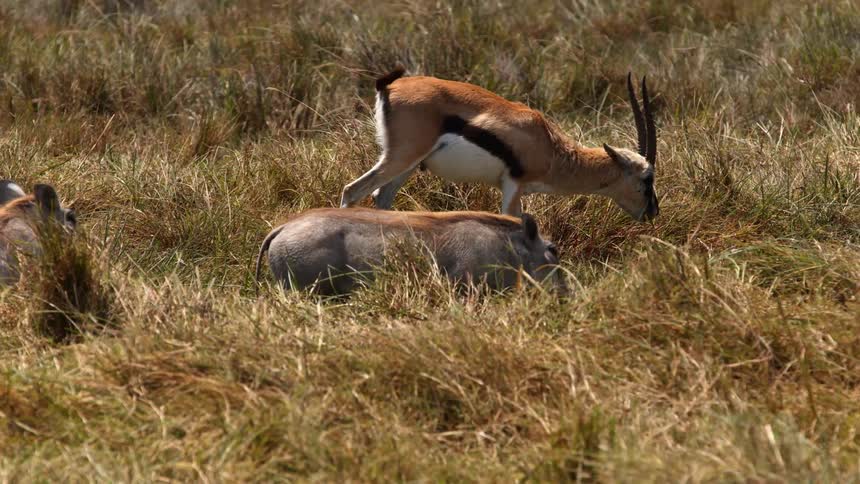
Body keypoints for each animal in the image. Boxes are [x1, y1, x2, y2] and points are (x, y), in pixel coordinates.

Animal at [340, 68, 659, 221]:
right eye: (647, 178)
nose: (652, 212)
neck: (549, 147)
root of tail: (389, 86)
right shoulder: (513, 185)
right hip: (400, 158)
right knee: (352, 190)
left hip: (408, 164)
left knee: (381, 198)